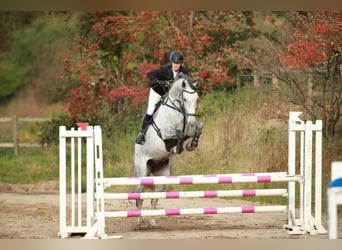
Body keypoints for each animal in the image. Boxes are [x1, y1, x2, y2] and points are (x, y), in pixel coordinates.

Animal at [133, 73, 203, 229]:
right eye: (185, 99)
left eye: (196, 100)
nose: (191, 122)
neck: (177, 109)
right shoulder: (165, 132)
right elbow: (179, 133)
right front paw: (180, 146)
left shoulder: (190, 129)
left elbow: (199, 127)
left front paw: (191, 144)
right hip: (141, 172)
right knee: (139, 198)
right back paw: (139, 223)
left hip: (162, 175)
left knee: (154, 199)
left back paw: (153, 222)